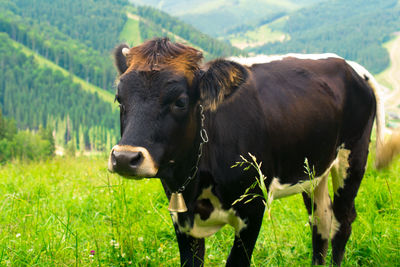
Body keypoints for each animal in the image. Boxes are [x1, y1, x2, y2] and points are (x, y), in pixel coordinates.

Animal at [108, 37, 398, 266]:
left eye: (180, 101)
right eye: (119, 99)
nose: (124, 158)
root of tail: (350, 65)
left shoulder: (254, 206)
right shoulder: (181, 217)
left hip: (353, 157)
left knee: (342, 220)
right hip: (314, 169)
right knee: (321, 220)